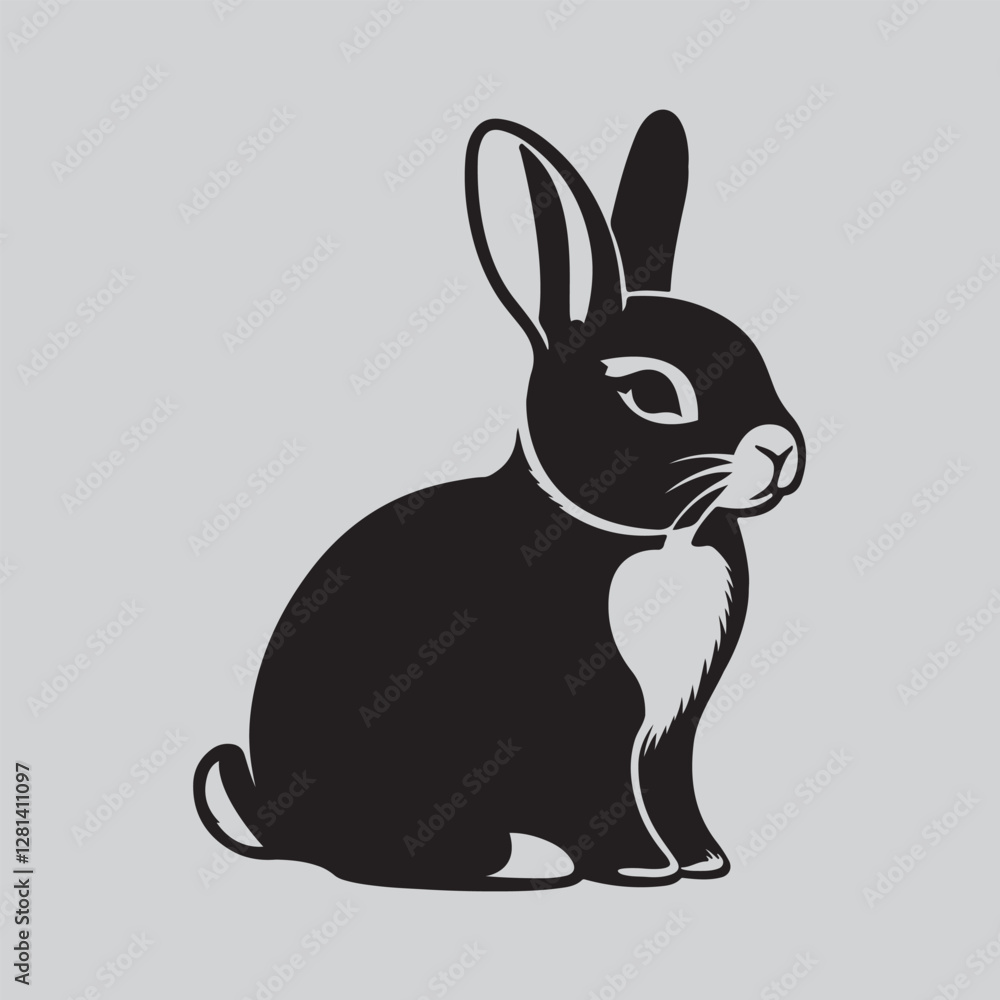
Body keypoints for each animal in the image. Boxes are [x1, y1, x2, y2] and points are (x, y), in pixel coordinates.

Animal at [194, 110, 804, 891]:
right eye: (651, 392)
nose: (780, 450)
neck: (665, 540)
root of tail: (274, 827)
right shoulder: (591, 714)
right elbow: (605, 790)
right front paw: (642, 867)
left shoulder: (673, 731)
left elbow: (671, 787)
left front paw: (703, 859)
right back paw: (522, 859)